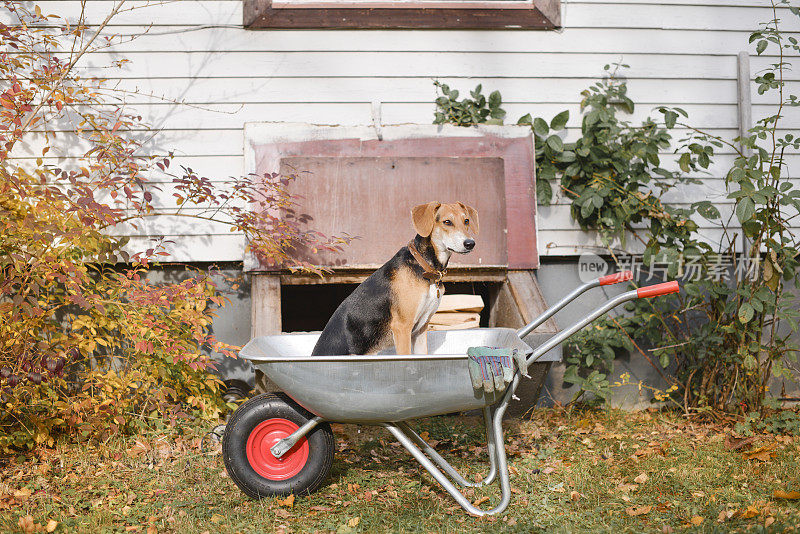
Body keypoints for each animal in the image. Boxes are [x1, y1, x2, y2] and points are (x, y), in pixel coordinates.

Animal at [310, 203, 478, 358]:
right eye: (447, 222)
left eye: (466, 221)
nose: (470, 243)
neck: (425, 267)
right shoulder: (402, 327)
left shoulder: (421, 329)